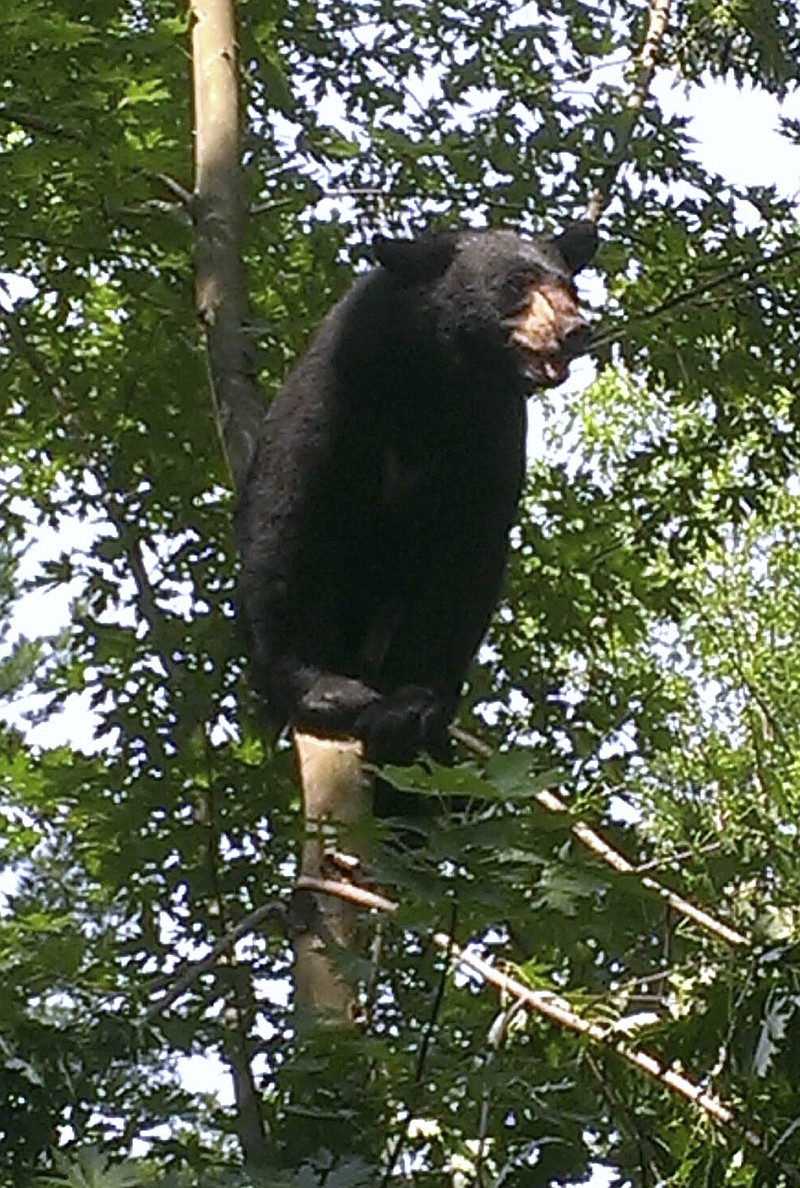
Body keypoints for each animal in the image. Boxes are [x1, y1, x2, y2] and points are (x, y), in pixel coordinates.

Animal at [234, 222, 596, 760]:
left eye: (570, 287)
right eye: (515, 283)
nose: (575, 328)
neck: (434, 381)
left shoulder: (489, 432)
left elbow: (464, 561)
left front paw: (413, 704)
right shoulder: (340, 386)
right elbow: (287, 520)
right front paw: (318, 685)